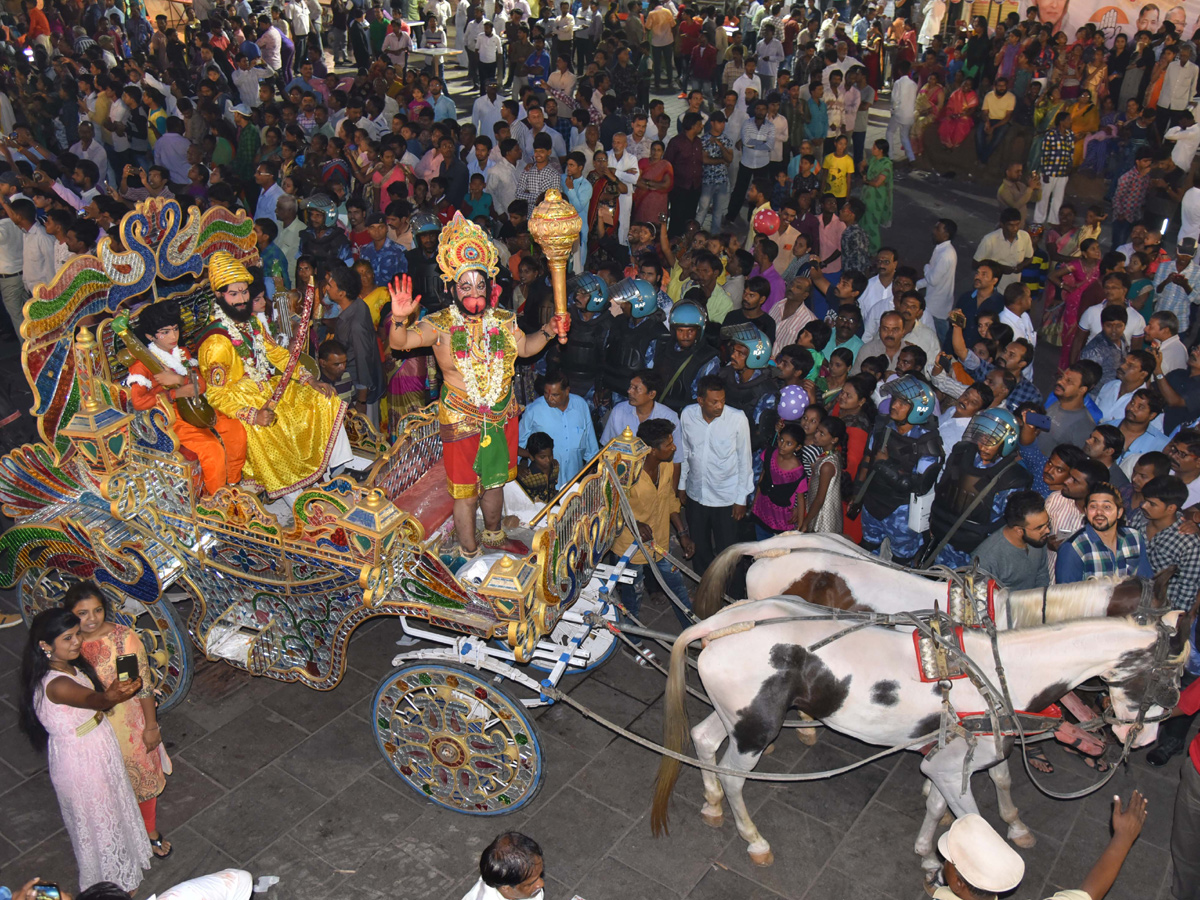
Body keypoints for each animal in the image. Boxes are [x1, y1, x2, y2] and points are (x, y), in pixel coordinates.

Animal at [652, 602, 1185, 878]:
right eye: (1172, 679)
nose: (1142, 738)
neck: (1005, 673)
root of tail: (723, 622)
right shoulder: (952, 767)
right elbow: (971, 818)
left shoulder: (967, 754)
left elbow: (982, 789)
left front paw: (936, 847)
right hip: (756, 730)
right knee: (734, 777)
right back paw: (753, 838)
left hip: (736, 716)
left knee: (703, 740)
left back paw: (711, 803)